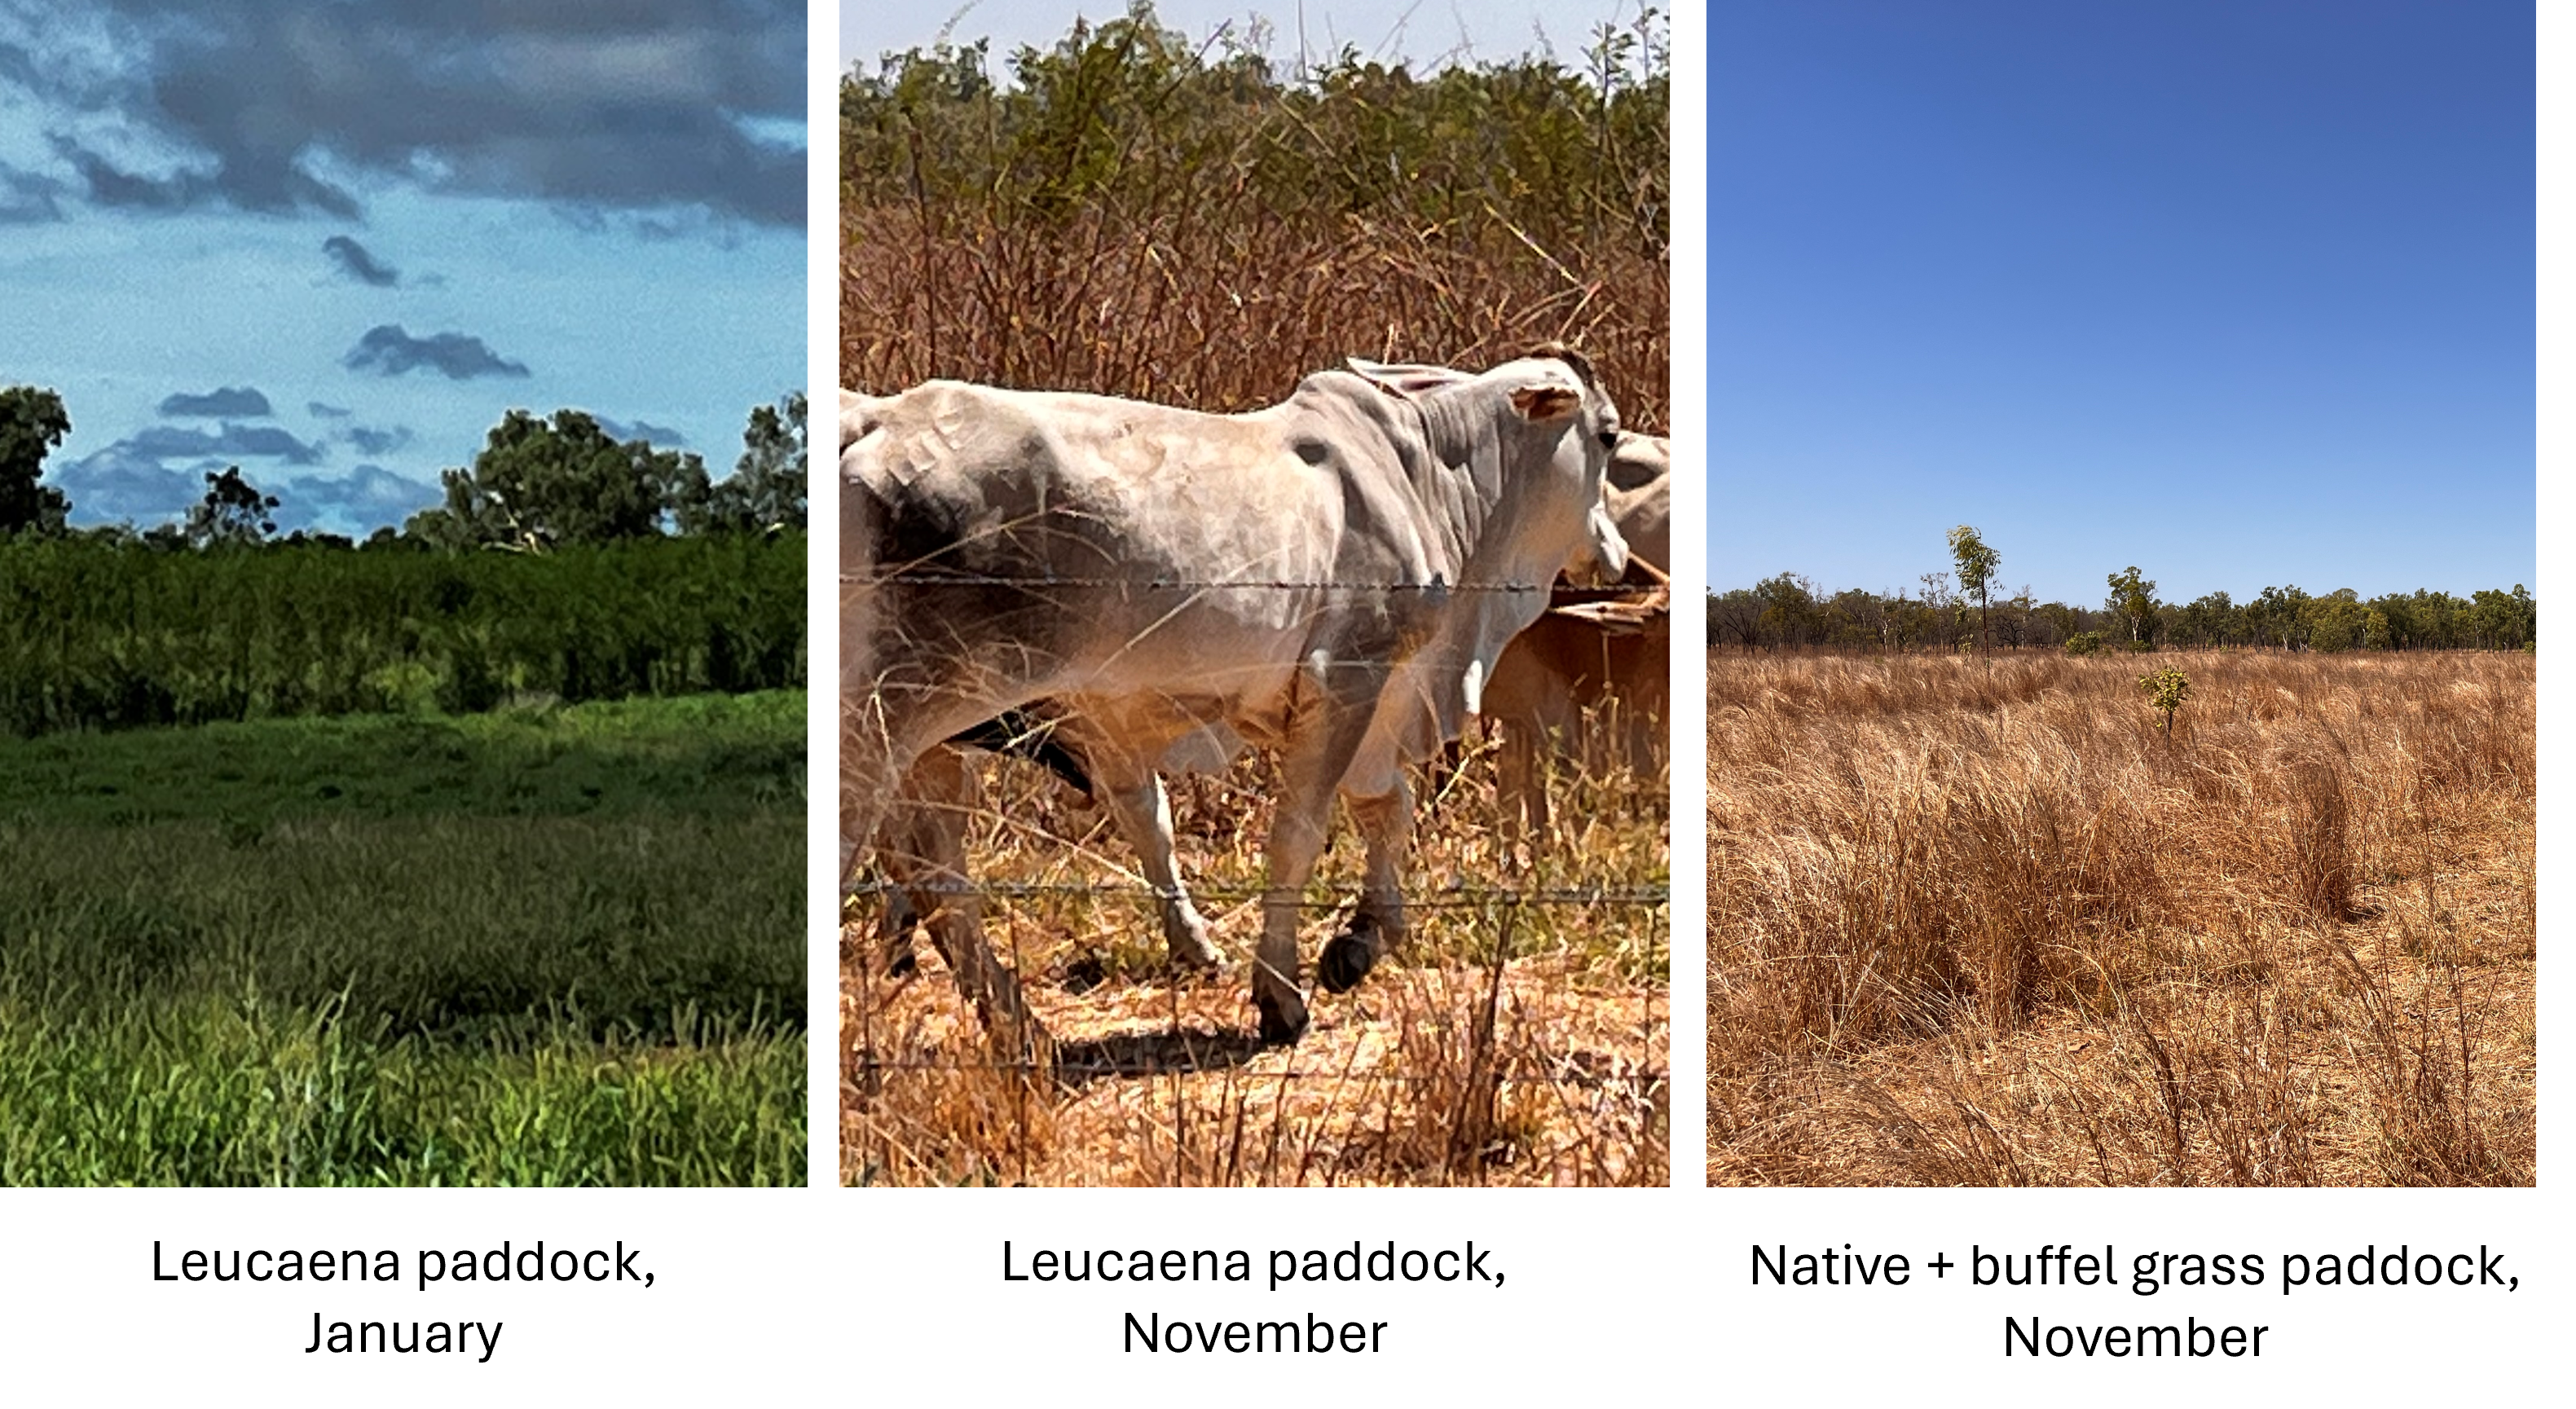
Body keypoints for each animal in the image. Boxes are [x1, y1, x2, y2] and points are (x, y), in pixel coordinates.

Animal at [844, 345, 1627, 1046]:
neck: (1427, 476)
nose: (1617, 554)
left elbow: (1385, 809)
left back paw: (1023, 1028)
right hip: (891, 716)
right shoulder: (1346, 679)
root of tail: (875, 418)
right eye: (1608, 433)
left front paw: (1357, 943)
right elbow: (1297, 836)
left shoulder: (1383, 701)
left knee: (936, 878)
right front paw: (1282, 995)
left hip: (934, 744)